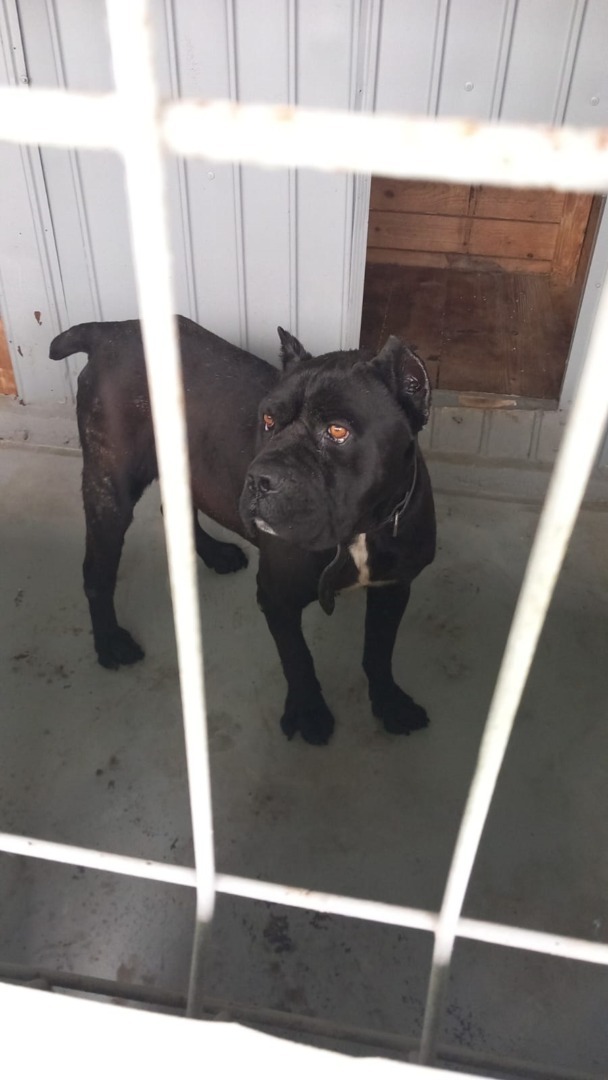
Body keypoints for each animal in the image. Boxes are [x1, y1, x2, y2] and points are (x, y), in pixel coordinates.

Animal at [49, 317, 436, 745]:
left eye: (337, 432)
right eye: (267, 421)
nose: (260, 479)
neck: (360, 531)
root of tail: (109, 330)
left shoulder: (394, 588)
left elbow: (380, 651)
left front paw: (389, 703)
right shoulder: (277, 598)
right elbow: (298, 658)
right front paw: (309, 711)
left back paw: (214, 554)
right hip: (111, 490)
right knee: (96, 572)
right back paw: (109, 641)